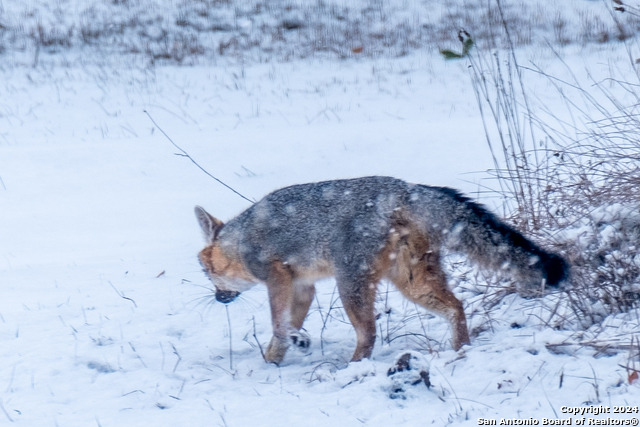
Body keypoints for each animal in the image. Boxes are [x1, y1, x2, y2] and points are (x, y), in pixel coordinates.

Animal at [196, 176, 568, 366]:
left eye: (204, 271)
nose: (216, 298)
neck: (241, 239)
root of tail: (406, 187)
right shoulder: (303, 286)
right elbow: (286, 326)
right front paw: (275, 357)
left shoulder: (277, 277)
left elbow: (278, 322)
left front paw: (289, 344)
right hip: (415, 284)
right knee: (457, 307)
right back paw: (460, 351)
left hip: (350, 285)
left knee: (369, 333)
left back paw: (352, 368)